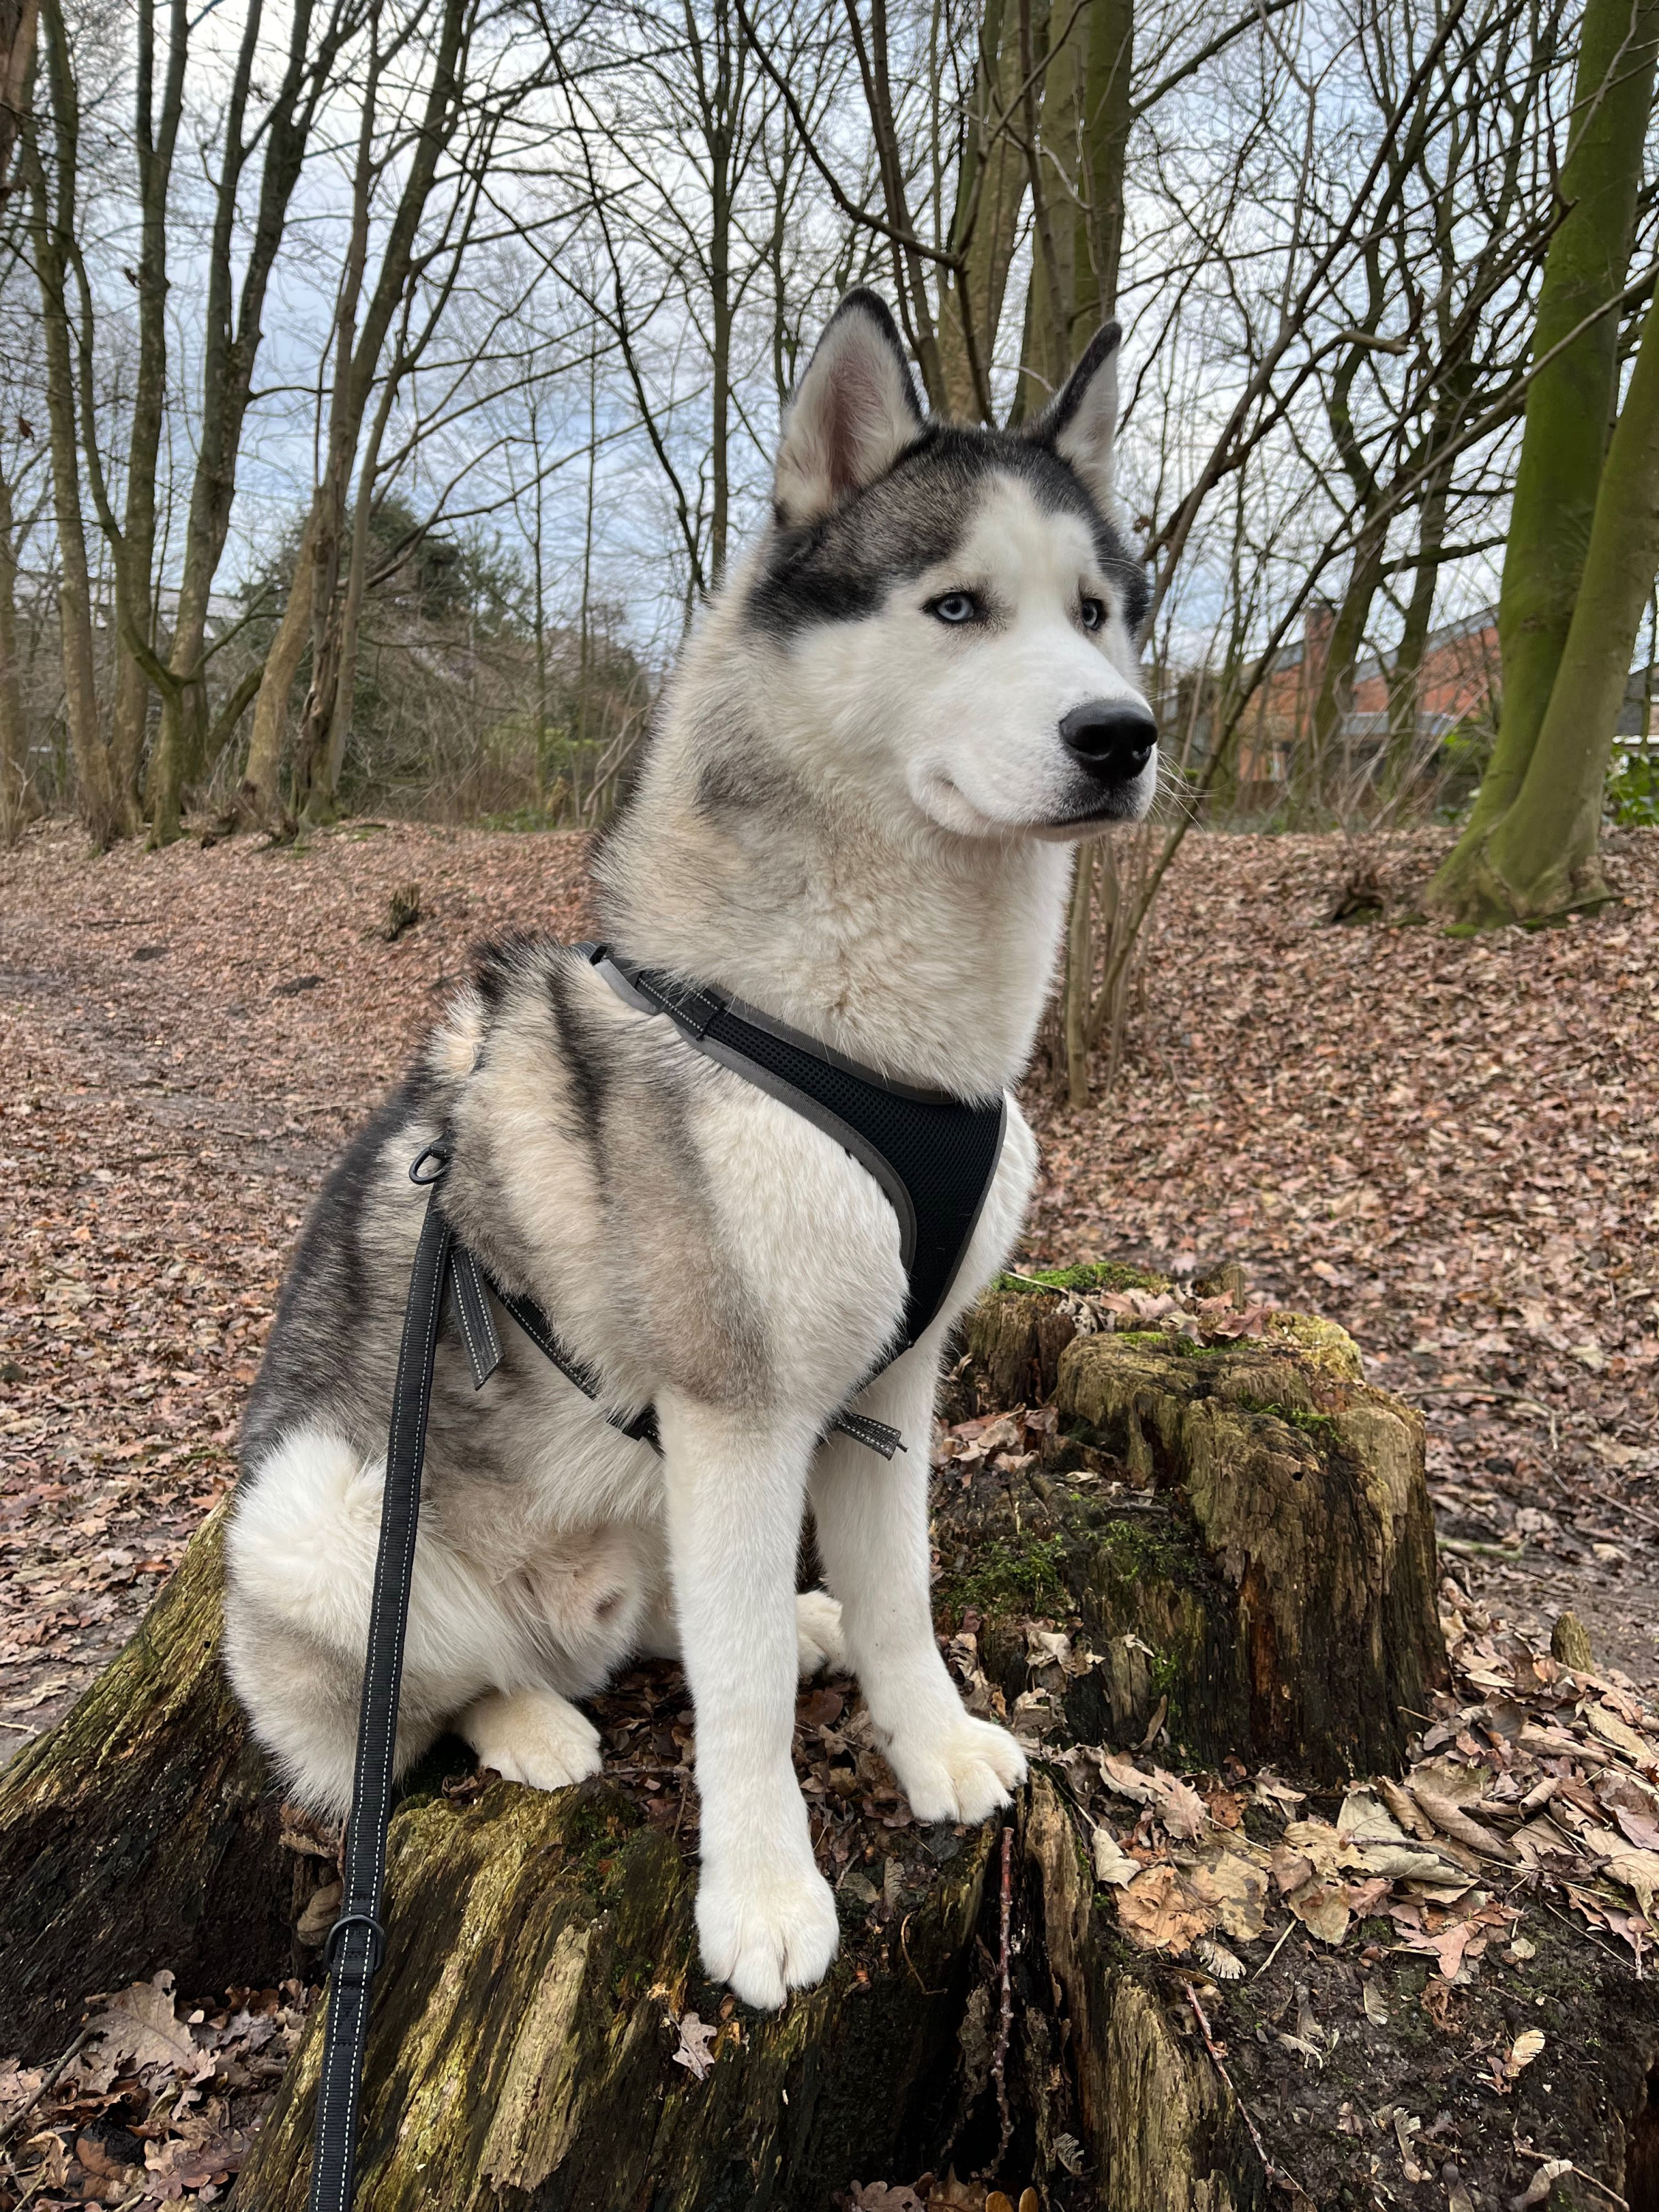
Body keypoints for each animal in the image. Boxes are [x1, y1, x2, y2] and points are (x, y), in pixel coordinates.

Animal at [224, 290, 1159, 2008]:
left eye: (1094, 612)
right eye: (957, 607)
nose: (1121, 736)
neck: (884, 1044)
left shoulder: (890, 1389)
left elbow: (900, 1600)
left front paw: (929, 1741)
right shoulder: (739, 1413)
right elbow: (741, 1710)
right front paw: (767, 1897)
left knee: (686, 1625)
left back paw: (793, 1624)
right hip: (322, 1516)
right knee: (425, 1706)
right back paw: (528, 1722)